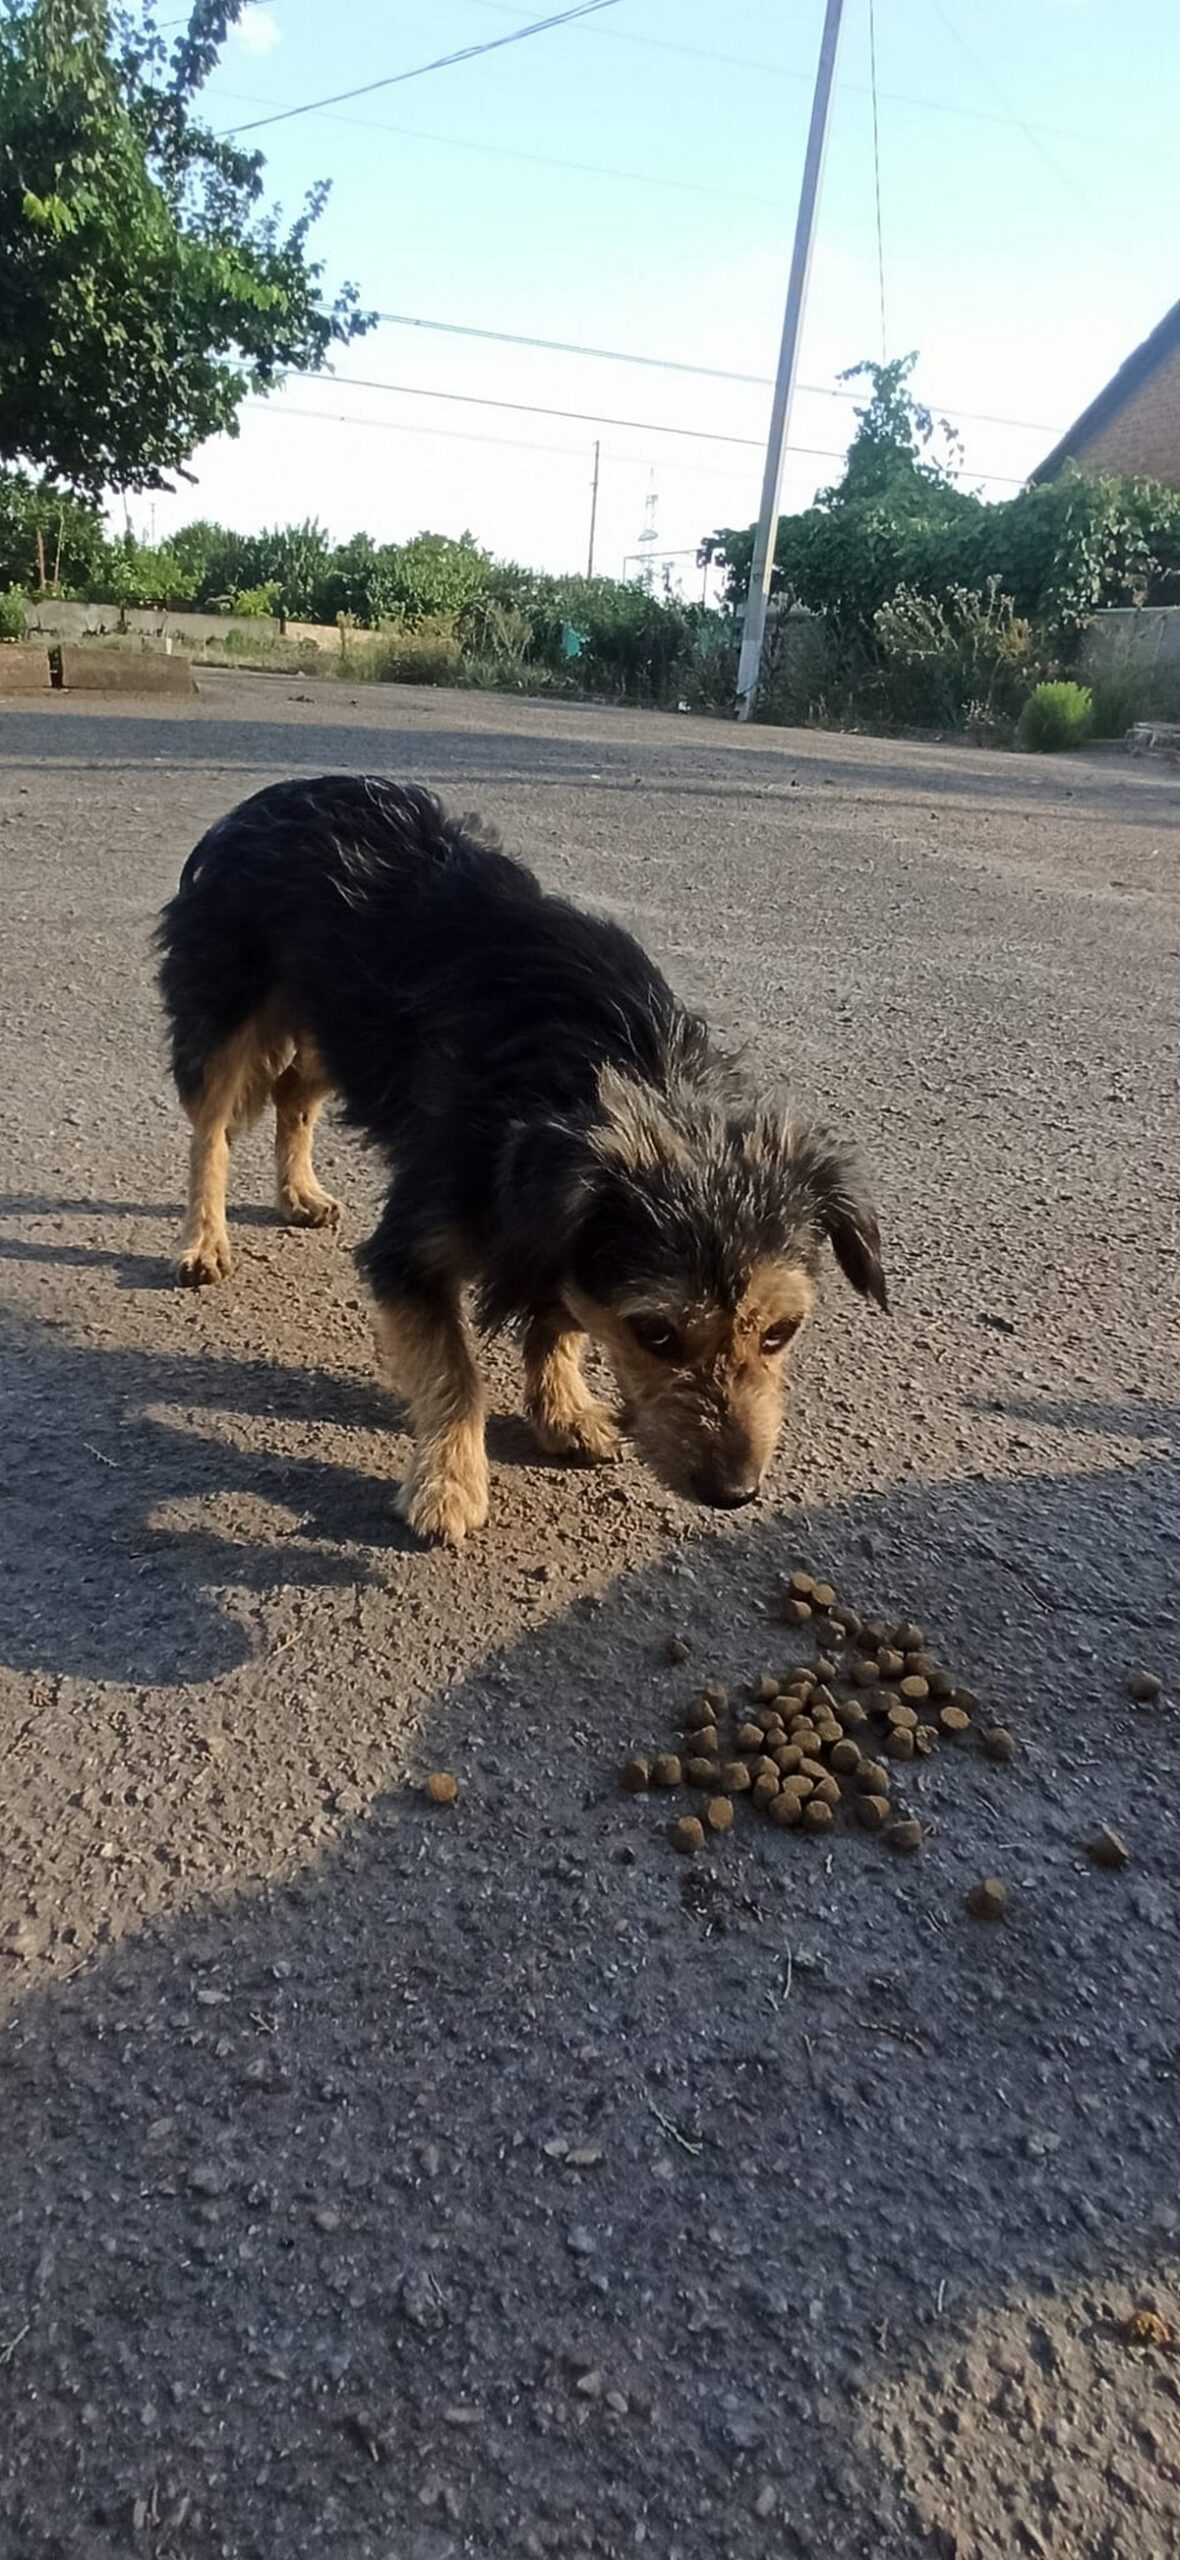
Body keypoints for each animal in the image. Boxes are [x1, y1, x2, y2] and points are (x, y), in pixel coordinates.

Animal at [154, 773, 880, 1536]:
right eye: (653, 1332)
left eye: (781, 1332)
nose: (736, 1492)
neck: (615, 1066)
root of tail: (284, 791)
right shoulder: (414, 1247)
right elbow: (455, 1373)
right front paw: (448, 1484)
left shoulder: (558, 1235)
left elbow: (560, 1318)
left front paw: (563, 1411)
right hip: (227, 1009)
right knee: (211, 1130)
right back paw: (203, 1239)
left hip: (335, 1028)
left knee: (295, 1090)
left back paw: (298, 1194)